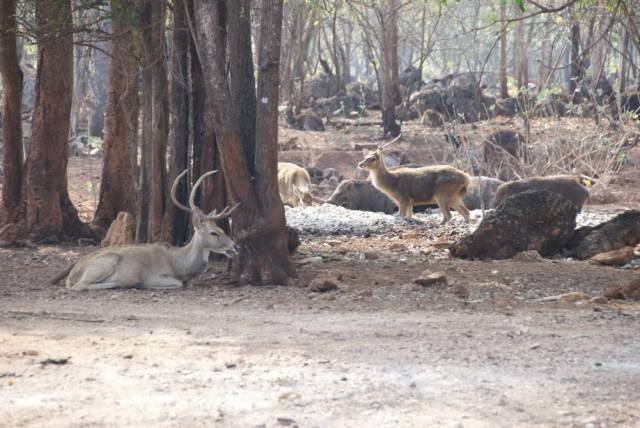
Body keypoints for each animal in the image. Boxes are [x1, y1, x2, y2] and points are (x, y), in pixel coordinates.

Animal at [63, 171, 240, 290]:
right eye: (214, 233)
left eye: (222, 229)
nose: (236, 246)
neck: (179, 266)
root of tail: (73, 273)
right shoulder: (155, 275)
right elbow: (177, 283)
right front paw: (144, 284)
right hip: (108, 261)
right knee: (80, 286)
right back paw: (121, 283)